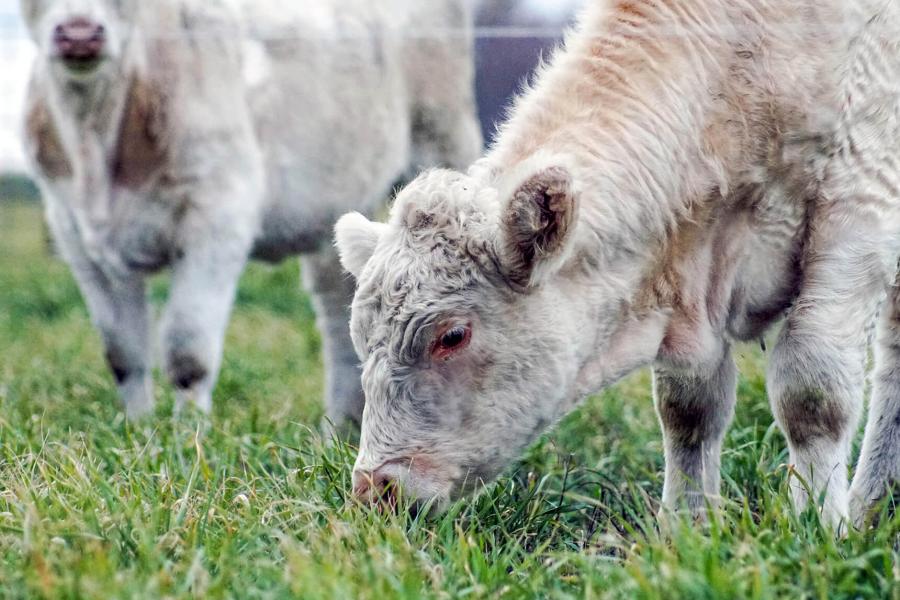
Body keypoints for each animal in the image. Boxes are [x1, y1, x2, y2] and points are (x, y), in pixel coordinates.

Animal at [20, 0, 482, 430]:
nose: (79, 34)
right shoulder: (73, 232)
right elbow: (123, 354)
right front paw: (139, 430)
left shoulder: (220, 215)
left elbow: (187, 349)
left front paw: (187, 436)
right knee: (337, 308)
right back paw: (339, 427)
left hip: (445, 136)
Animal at [336, 0, 900, 528]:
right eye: (362, 342)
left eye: (452, 336)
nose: (374, 489)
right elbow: (688, 409)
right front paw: (686, 529)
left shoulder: (858, 203)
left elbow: (812, 394)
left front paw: (817, 527)